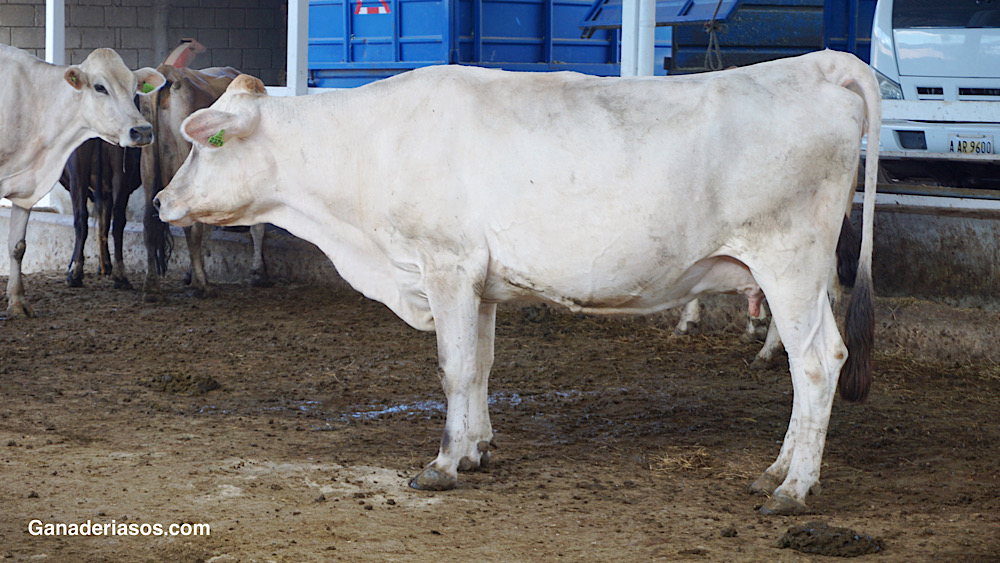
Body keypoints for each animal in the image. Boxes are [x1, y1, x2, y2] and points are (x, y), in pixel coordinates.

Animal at [0, 44, 164, 318]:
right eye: (100, 87)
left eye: (135, 89)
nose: (142, 131)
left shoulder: (25, 190)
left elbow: (17, 246)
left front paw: (18, 302)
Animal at [152, 50, 880, 516]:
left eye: (206, 144)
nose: (159, 200)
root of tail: (817, 64)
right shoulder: (480, 280)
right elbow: (479, 366)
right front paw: (476, 449)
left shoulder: (445, 264)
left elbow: (452, 367)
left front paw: (444, 465)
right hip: (803, 275)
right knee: (816, 358)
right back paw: (778, 468)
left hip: (787, 261)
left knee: (818, 362)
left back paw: (794, 490)